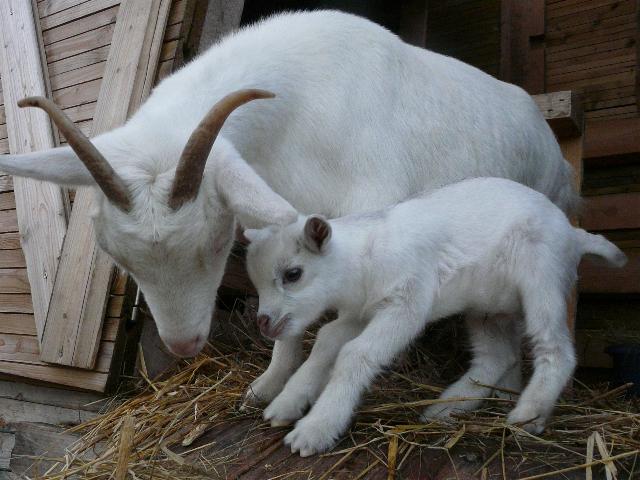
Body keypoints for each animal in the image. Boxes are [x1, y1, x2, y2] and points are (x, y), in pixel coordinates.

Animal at [1, 11, 576, 372]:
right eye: (118, 258)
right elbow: (288, 309)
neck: (299, 113)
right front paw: (268, 385)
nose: (184, 345)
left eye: (217, 243)